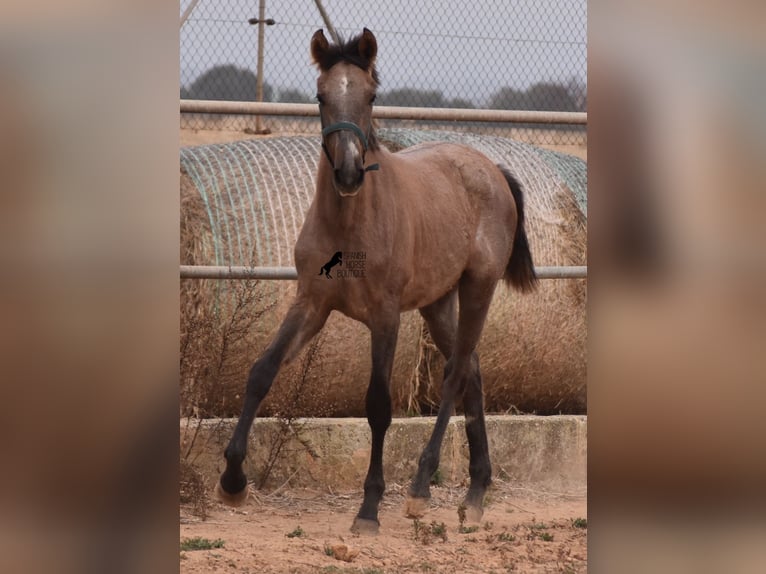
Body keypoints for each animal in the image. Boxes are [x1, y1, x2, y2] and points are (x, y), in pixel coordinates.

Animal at [216, 28, 540, 536]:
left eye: (370, 95)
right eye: (320, 95)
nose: (349, 173)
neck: (349, 223)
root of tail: (493, 170)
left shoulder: (385, 318)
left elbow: (378, 406)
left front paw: (368, 508)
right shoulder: (311, 304)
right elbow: (262, 372)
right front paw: (232, 481)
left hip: (479, 288)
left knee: (454, 375)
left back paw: (421, 489)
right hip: (438, 302)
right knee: (472, 372)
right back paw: (474, 494)